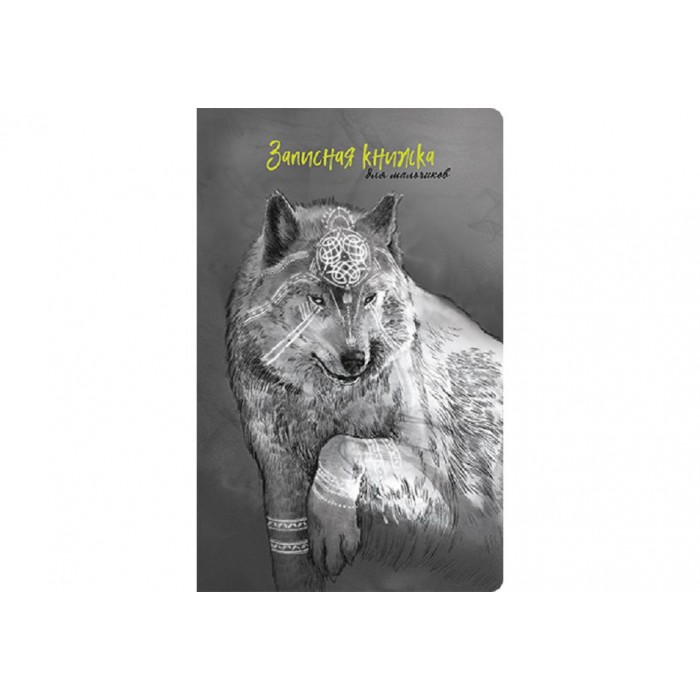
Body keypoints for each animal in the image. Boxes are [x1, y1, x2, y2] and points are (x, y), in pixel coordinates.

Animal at [225, 192, 503, 591]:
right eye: (317, 299)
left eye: (370, 298)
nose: (356, 359)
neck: (328, 407)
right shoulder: (282, 495)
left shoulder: (441, 489)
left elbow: (341, 444)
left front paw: (331, 531)